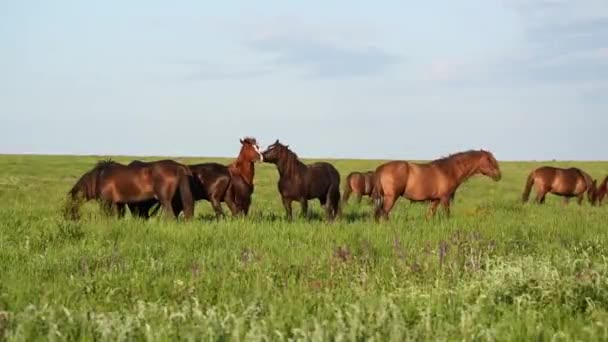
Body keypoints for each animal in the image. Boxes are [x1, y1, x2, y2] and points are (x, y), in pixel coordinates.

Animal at [372, 149, 502, 219]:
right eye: (489, 160)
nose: (499, 175)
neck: (449, 170)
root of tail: (381, 168)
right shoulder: (445, 198)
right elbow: (447, 215)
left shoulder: (435, 200)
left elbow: (430, 215)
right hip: (391, 197)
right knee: (384, 213)